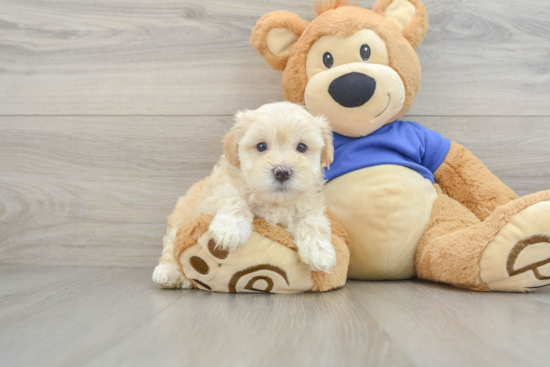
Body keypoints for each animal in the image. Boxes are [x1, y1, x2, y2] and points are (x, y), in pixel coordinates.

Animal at [153, 102, 338, 288]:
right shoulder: (215, 195)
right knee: (170, 249)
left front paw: (320, 252)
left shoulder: (312, 206)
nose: (282, 172)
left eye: (301, 147)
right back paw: (169, 273)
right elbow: (236, 201)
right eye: (261, 146)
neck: (273, 201)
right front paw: (229, 230)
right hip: (179, 222)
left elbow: (313, 222)